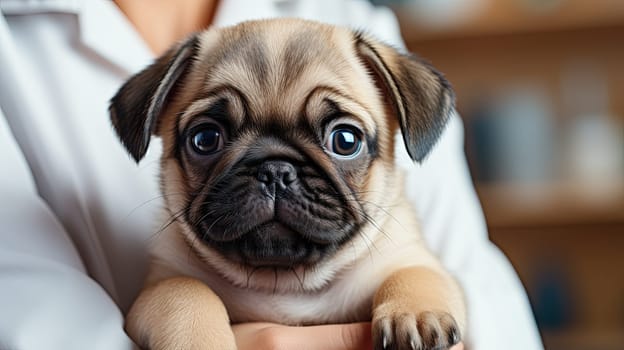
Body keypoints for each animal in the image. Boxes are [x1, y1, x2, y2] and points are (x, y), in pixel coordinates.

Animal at [109, 18, 466, 350]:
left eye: (345, 140)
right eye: (205, 138)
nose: (275, 170)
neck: (286, 284)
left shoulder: (405, 257)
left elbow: (415, 273)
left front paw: (417, 315)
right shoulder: (161, 283)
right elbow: (184, 291)